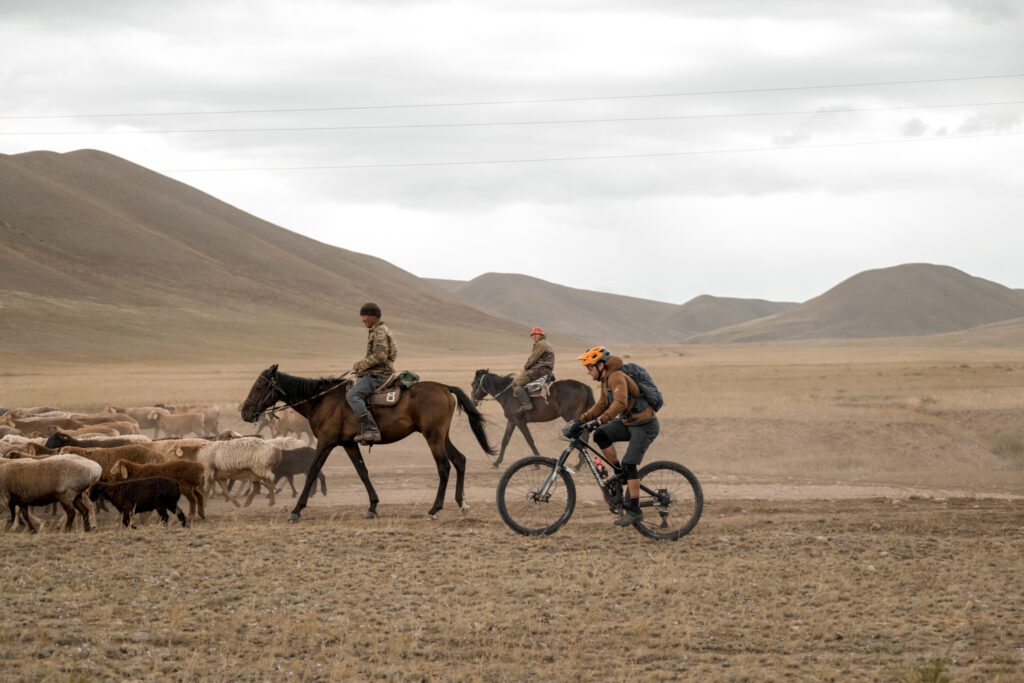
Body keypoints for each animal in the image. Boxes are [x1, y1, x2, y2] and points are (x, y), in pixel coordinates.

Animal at [240, 366, 495, 520]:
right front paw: (372, 506)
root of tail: (444, 387)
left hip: (432, 436)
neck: (322, 401)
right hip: (443, 435)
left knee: (444, 467)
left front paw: (296, 510)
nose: (245, 412)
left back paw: (434, 509)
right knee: (460, 460)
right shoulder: (349, 444)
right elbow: (362, 472)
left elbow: (312, 471)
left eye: (260, 386)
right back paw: (462, 504)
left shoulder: (326, 442)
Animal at [468, 370, 598, 466]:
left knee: (583, 434)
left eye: (473, 384)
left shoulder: (520, 421)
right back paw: (581, 462)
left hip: (570, 416)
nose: (473, 400)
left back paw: (580, 463)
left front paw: (536, 464)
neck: (508, 395)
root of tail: (584, 386)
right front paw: (497, 462)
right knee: (585, 433)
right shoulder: (512, 421)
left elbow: (529, 440)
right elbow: (505, 440)